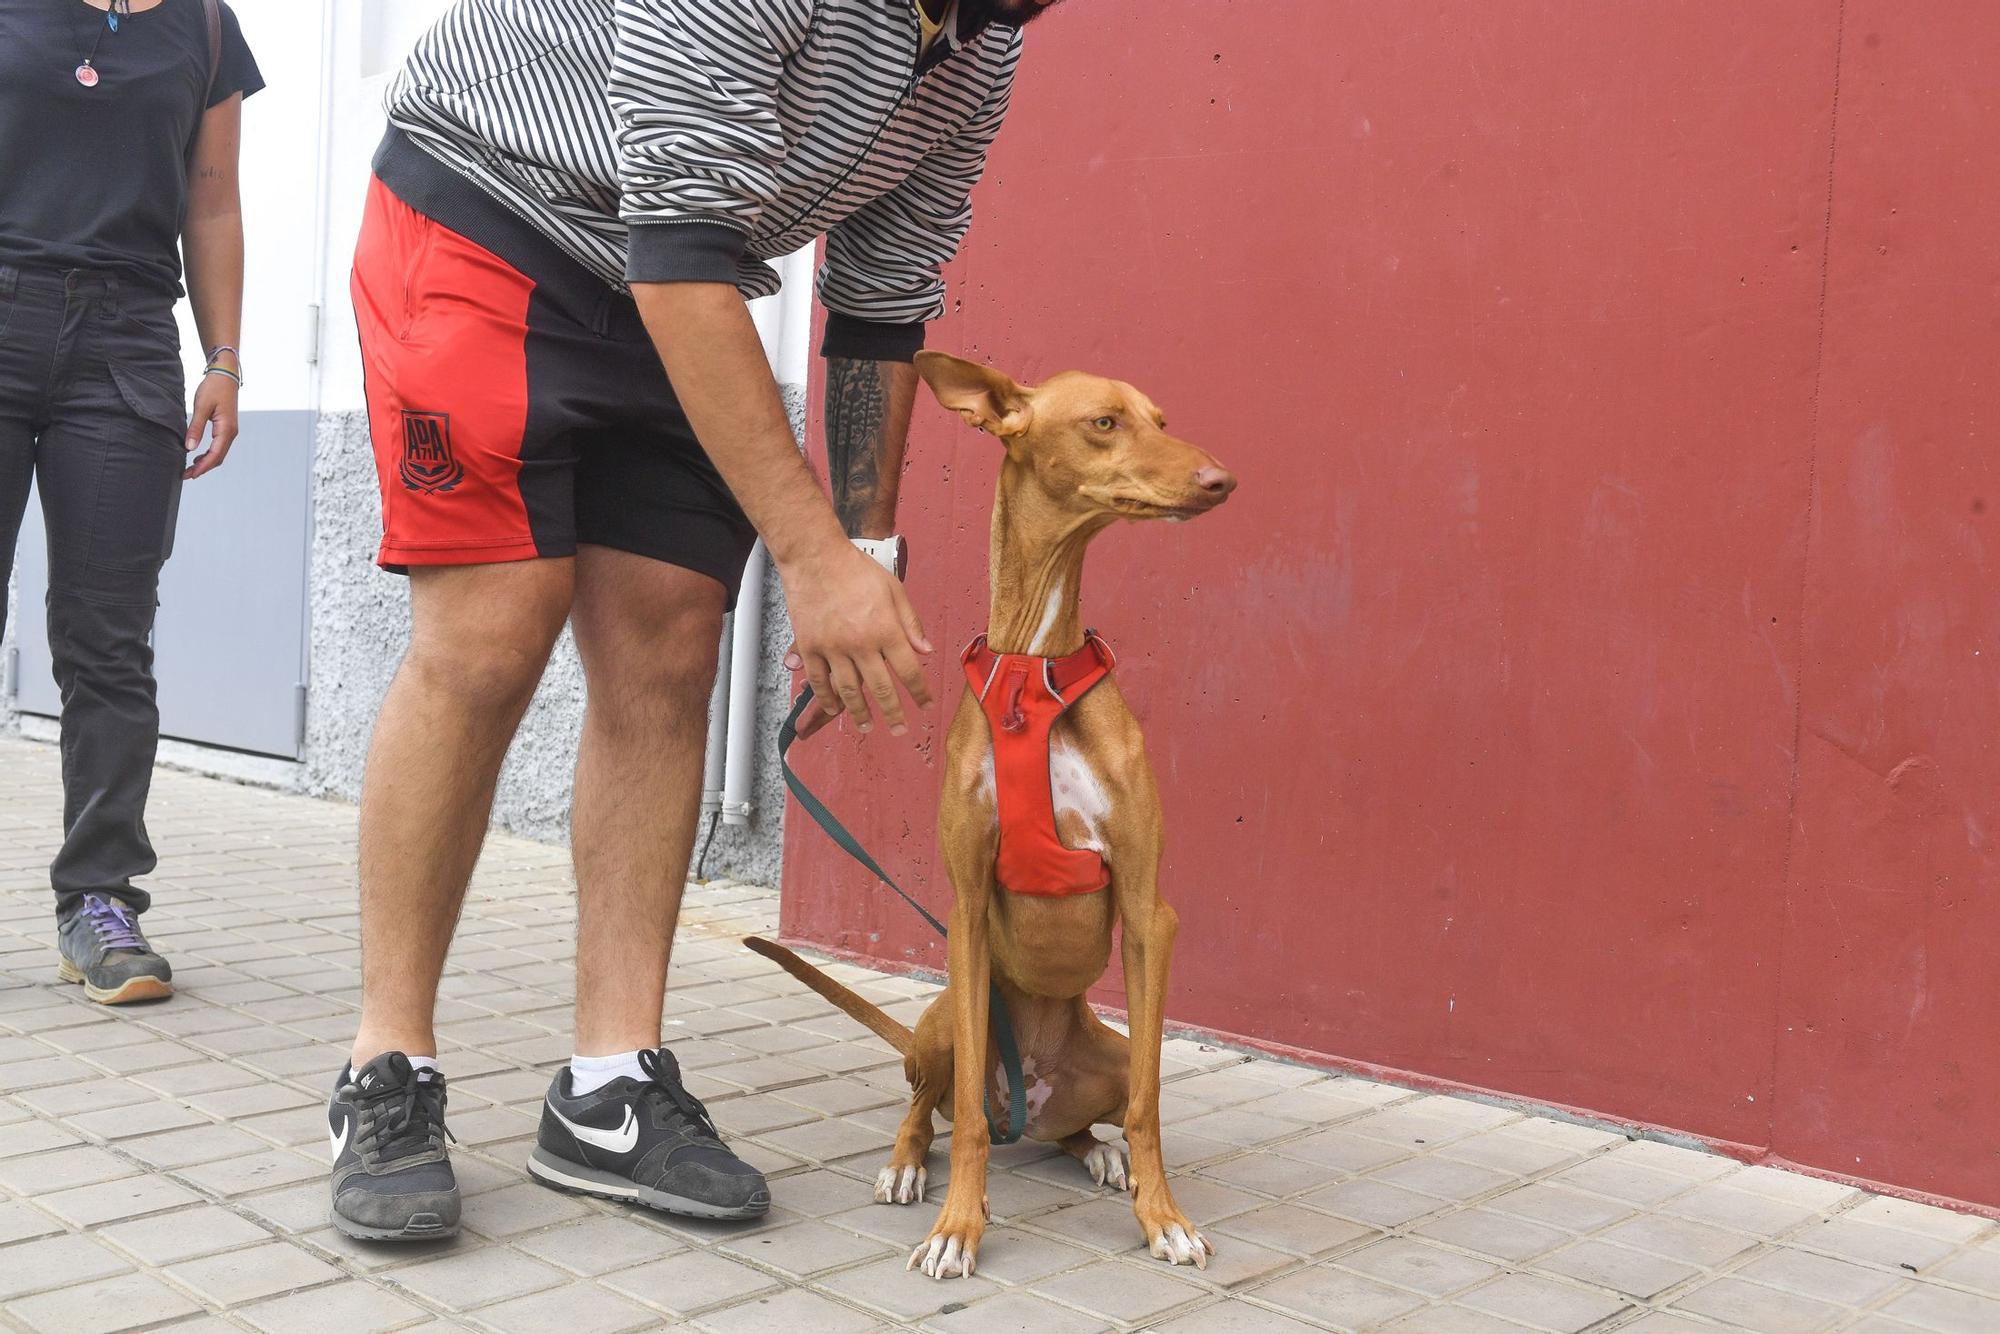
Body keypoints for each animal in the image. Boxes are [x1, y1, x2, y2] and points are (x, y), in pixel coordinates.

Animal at [752, 350, 1232, 1280]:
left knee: (1087, 1119)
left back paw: (1099, 1152)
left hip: (1106, 1053)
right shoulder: (968, 912)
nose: (1221, 479)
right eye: (1104, 422)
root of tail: (1034, 1095)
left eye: (1161, 419)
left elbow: (1151, 1105)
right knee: (934, 1102)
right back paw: (907, 1166)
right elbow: (969, 1119)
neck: (1032, 669)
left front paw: (1163, 1218)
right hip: (942, 1021)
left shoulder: (1148, 913)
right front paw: (957, 1228)